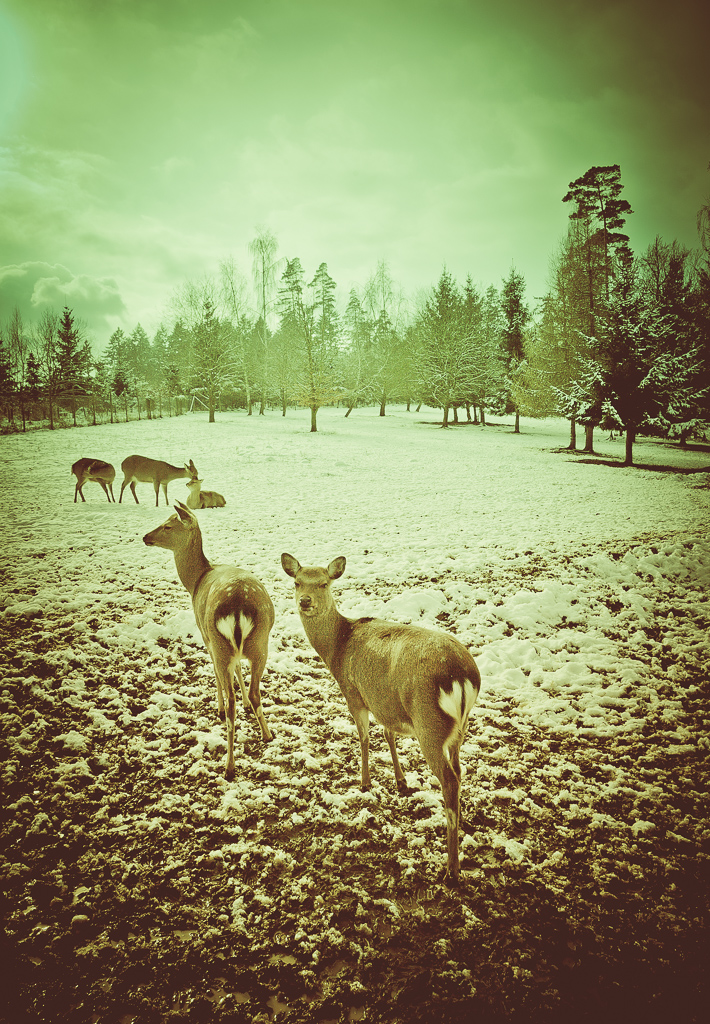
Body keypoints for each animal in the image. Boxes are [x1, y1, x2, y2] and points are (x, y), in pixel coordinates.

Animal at [144, 502, 275, 780]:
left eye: (168, 525)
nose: (146, 537)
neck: (196, 580)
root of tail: (237, 606)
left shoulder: (206, 638)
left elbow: (216, 673)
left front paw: (218, 707)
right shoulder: (234, 652)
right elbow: (238, 671)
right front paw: (245, 703)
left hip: (221, 642)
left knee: (232, 696)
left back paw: (229, 765)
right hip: (260, 643)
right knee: (255, 690)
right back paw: (267, 734)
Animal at [281, 553, 481, 884]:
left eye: (323, 583)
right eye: (297, 582)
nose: (305, 601)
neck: (336, 649)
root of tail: (464, 677)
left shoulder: (354, 691)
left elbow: (363, 736)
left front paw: (364, 782)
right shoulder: (385, 701)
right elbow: (388, 734)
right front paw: (401, 781)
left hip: (429, 724)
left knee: (449, 779)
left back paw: (451, 869)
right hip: (458, 729)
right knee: (460, 769)